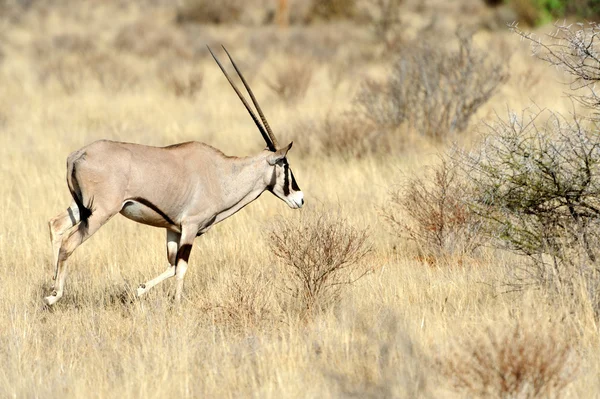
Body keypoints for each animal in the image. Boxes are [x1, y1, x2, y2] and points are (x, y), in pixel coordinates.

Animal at [44, 47, 304, 306]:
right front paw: (177, 304)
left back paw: (52, 281)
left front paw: (140, 289)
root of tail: (78, 154)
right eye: (285, 164)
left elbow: (171, 264)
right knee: (68, 243)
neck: (222, 174)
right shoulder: (190, 226)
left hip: (82, 207)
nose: (300, 199)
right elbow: (181, 268)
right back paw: (54, 295)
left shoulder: (173, 228)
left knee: (56, 225)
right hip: (101, 213)